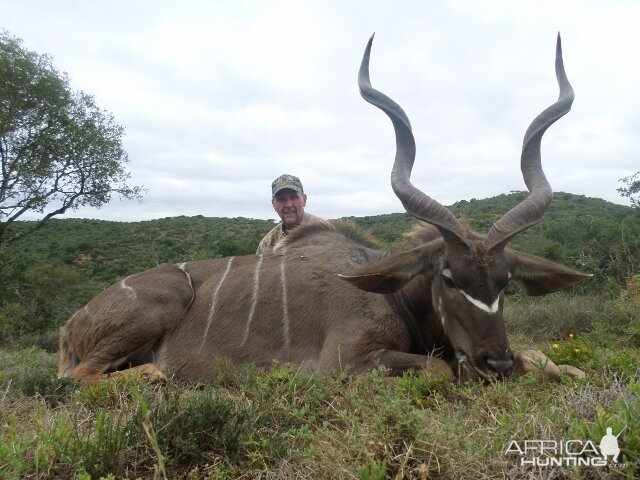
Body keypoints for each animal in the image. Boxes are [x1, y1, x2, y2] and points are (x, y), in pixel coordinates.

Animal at [58, 34, 592, 382]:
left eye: (505, 282)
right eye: (448, 278)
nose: (494, 363)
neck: (392, 293)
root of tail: (71, 326)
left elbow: (545, 358)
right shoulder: (345, 360)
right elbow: (441, 370)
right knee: (82, 378)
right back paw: (159, 375)